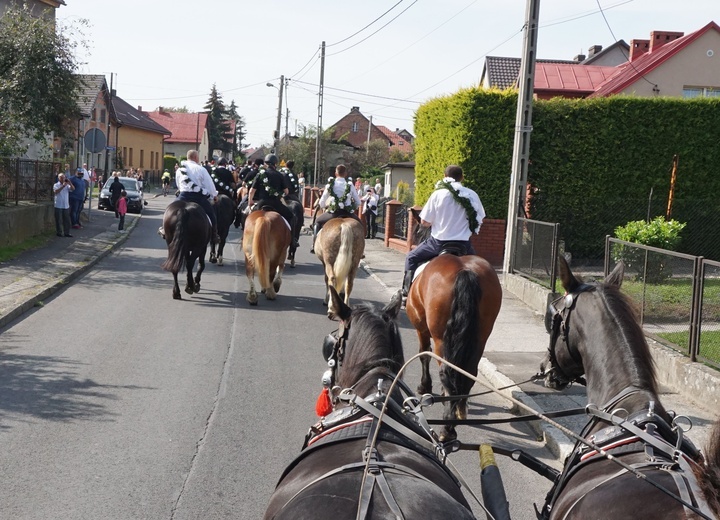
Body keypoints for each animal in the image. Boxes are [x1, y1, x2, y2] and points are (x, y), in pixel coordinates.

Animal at [404, 213, 500, 440]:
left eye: (415, 232)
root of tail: (465, 271)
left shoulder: (421, 328)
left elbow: (423, 353)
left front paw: (425, 386)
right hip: (480, 337)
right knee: (468, 370)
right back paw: (459, 409)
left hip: (441, 337)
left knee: (446, 370)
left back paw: (447, 428)